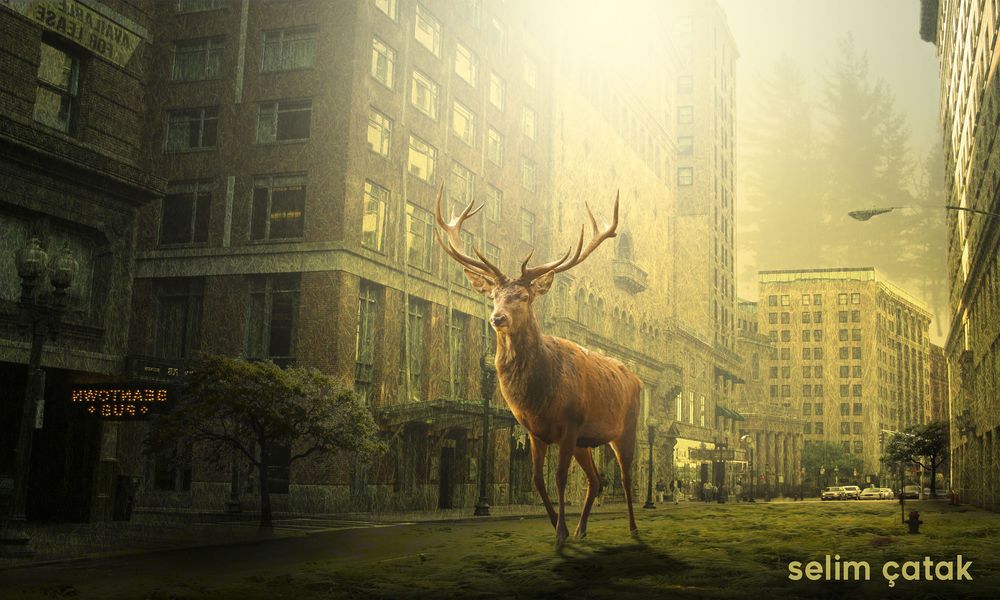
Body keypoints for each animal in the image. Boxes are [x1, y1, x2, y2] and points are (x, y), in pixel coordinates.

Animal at [434, 186, 641, 548]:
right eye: (494, 295)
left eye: (523, 296)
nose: (497, 318)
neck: (539, 394)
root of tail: (638, 378)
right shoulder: (535, 431)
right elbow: (536, 478)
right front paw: (559, 527)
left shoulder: (570, 424)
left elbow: (558, 477)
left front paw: (559, 534)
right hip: (587, 441)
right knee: (596, 479)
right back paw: (582, 529)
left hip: (625, 427)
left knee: (627, 475)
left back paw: (632, 528)